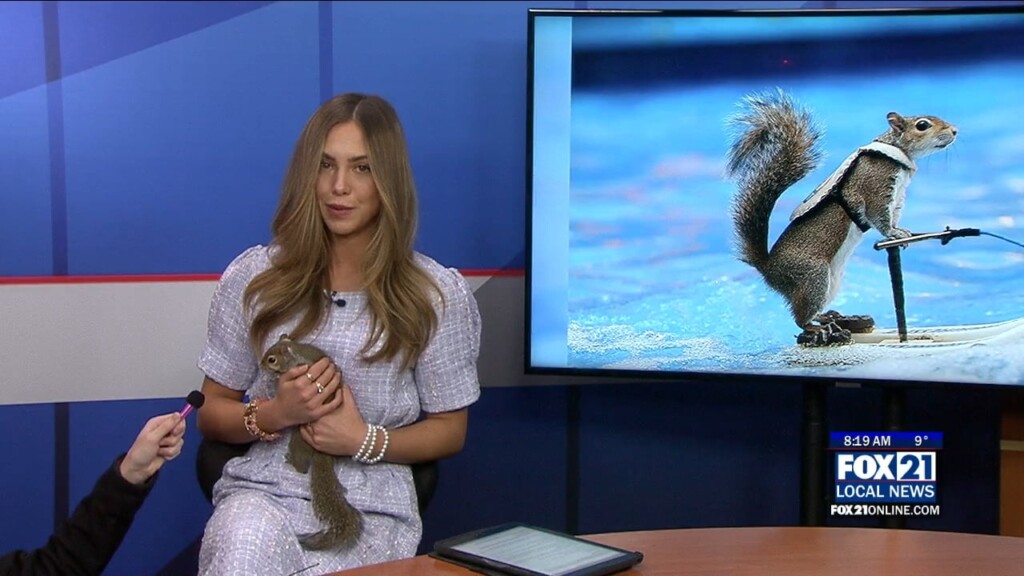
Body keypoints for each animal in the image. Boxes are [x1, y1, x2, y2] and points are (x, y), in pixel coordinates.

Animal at [261, 334, 363, 550]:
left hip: (298, 441)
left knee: (302, 467)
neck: (295, 351)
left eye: (271, 359)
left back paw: (291, 461)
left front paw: (277, 376)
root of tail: (322, 453)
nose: (261, 365)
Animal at [724, 89, 957, 346]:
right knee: (800, 317)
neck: (896, 153)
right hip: (813, 277)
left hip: (831, 282)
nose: (954, 130)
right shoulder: (875, 186)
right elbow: (879, 216)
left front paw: (902, 232)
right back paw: (816, 327)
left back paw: (829, 317)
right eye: (922, 125)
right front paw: (893, 233)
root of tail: (768, 270)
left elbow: (893, 217)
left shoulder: (896, 199)